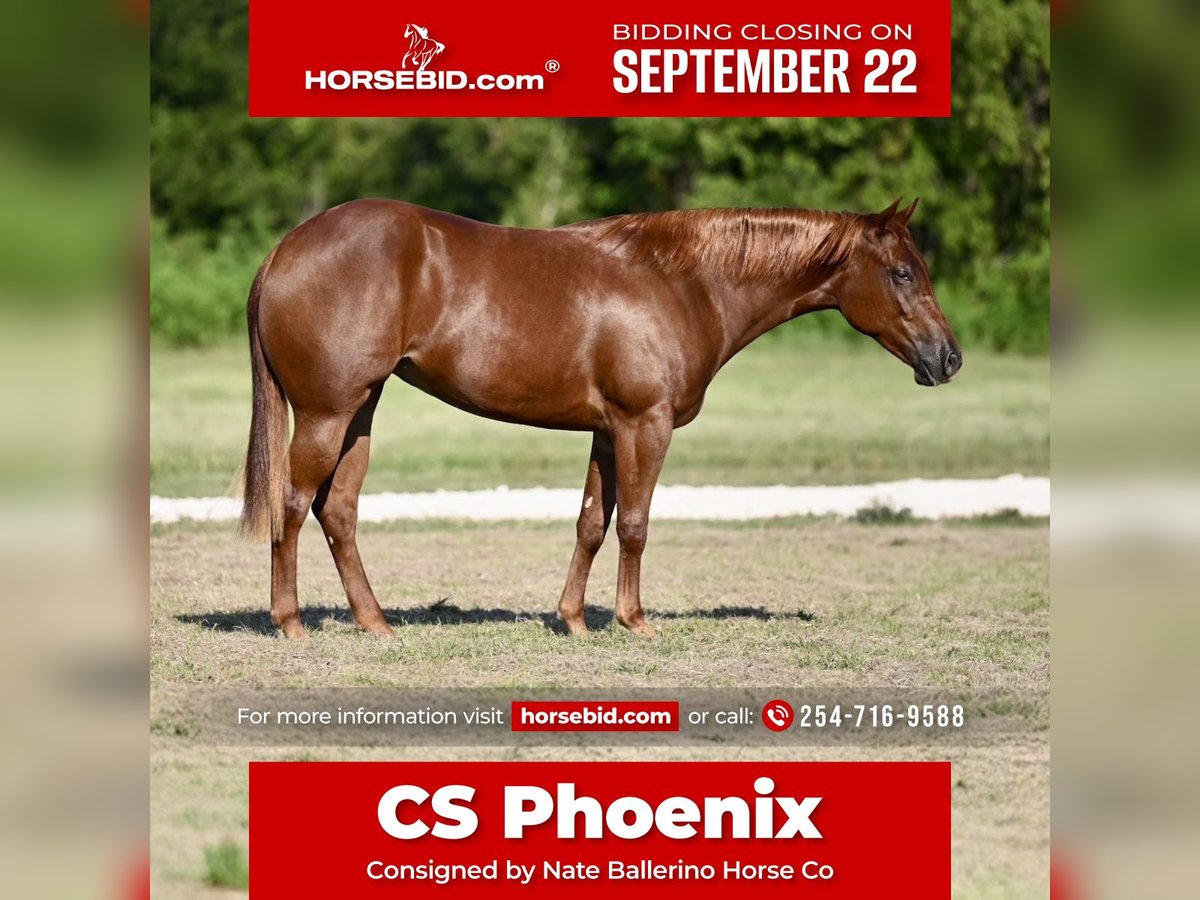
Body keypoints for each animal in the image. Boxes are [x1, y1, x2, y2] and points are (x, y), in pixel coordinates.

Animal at [239, 198, 961, 640]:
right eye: (902, 272)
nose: (949, 357)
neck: (681, 283)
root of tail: (282, 251)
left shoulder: (608, 432)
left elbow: (592, 522)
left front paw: (574, 619)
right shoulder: (646, 424)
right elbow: (635, 525)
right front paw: (634, 620)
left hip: (359, 412)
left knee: (338, 512)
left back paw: (376, 623)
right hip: (328, 414)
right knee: (295, 505)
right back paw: (291, 621)